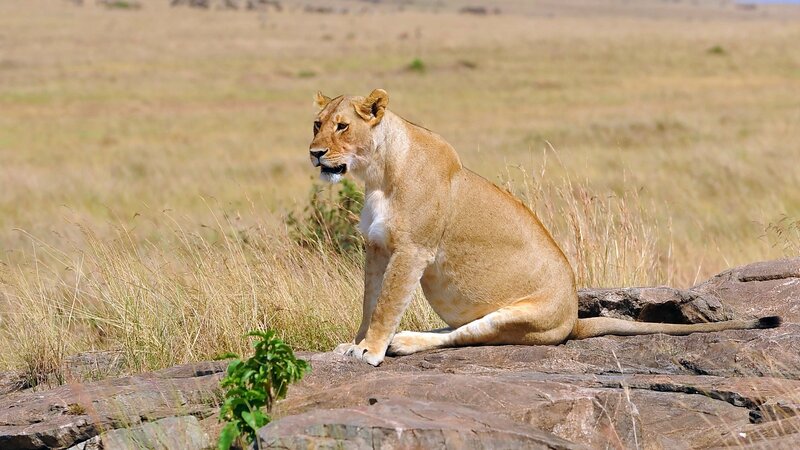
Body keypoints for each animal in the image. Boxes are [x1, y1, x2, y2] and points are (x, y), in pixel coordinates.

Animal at [308, 88, 781, 366]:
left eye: (343, 126)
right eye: (317, 124)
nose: (314, 153)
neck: (375, 174)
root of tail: (574, 320)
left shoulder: (411, 250)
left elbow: (386, 304)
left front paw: (370, 350)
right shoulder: (377, 247)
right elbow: (369, 301)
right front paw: (355, 343)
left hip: (519, 317)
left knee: (466, 337)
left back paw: (404, 342)